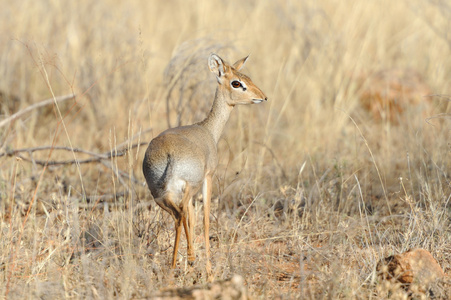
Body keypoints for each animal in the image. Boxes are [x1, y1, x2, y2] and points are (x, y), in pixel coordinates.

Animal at [143, 53, 266, 276]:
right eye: (236, 82)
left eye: (247, 77)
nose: (262, 96)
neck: (208, 130)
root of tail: (168, 153)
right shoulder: (208, 178)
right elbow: (206, 220)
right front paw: (207, 269)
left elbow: (192, 219)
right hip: (189, 187)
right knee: (182, 214)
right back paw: (182, 263)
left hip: (160, 194)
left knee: (179, 215)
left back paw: (179, 265)